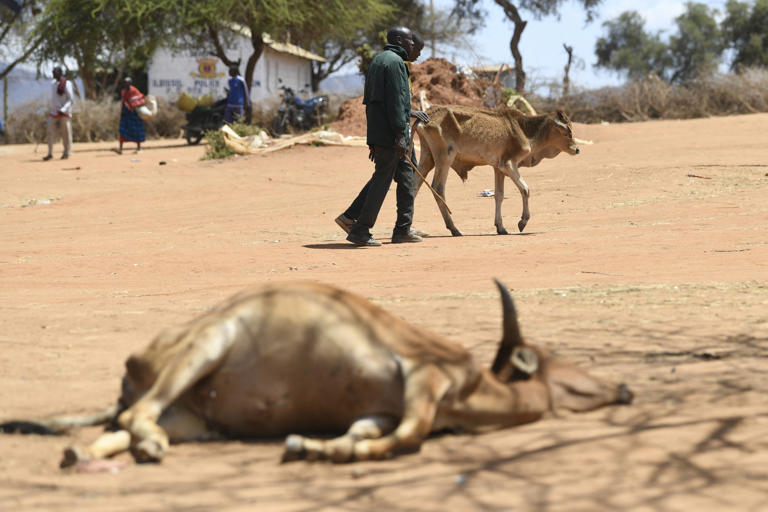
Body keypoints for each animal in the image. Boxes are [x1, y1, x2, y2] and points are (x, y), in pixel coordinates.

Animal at [0, 280, 632, 468]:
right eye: (556, 360)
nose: (624, 387)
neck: (476, 389)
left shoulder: (380, 409)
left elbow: (367, 432)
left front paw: (312, 446)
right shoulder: (422, 381)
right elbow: (406, 439)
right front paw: (328, 452)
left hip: (195, 420)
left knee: (122, 425)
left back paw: (82, 454)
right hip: (207, 346)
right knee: (137, 414)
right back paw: (145, 449)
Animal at [416, 104, 580, 236]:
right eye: (567, 132)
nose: (577, 149)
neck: (525, 129)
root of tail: (427, 115)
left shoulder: (497, 168)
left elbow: (499, 195)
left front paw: (500, 227)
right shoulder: (508, 164)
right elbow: (525, 189)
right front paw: (522, 222)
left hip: (427, 158)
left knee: (414, 185)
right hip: (445, 158)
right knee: (437, 188)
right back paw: (454, 229)